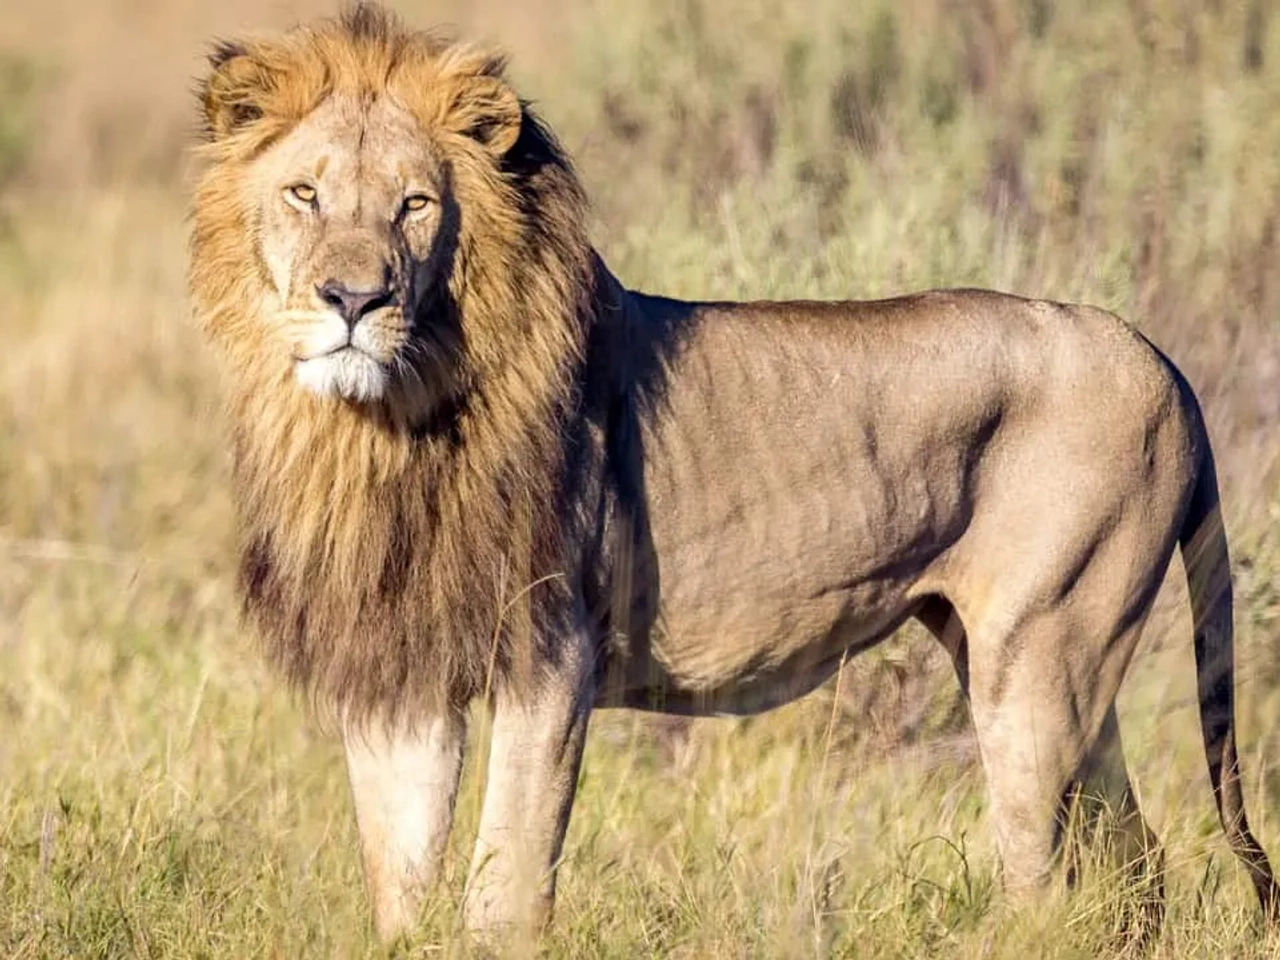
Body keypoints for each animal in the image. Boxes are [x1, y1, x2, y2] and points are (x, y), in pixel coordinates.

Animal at [189, 2, 1277, 943]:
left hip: (1043, 656)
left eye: (414, 206)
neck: (383, 426)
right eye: (304, 194)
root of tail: (1152, 349)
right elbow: (401, 879)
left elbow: (505, 881)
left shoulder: (552, 653)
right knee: (1134, 861)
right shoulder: (400, 671)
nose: (353, 299)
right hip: (1030, 661)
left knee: (1045, 880)